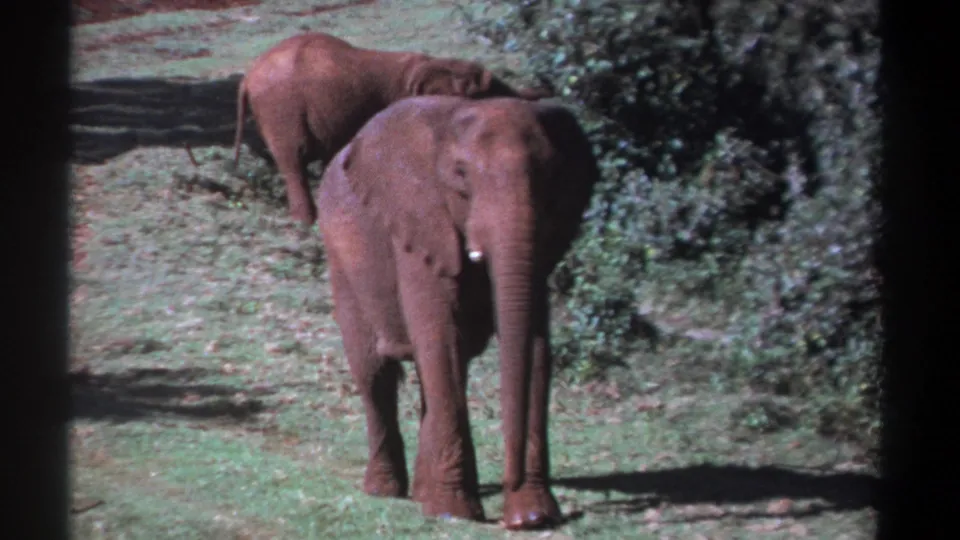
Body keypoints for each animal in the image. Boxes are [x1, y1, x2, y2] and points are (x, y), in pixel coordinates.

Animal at [231, 32, 554, 225]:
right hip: (280, 107)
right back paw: (307, 223)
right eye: (482, 95)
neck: (430, 65)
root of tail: (247, 77)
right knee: (293, 160)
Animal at [314, 95, 600, 530]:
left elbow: (536, 349)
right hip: (341, 256)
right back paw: (386, 491)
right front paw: (455, 513)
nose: (510, 484)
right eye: (461, 175)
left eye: (550, 175)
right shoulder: (419, 225)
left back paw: (421, 494)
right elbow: (440, 339)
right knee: (374, 371)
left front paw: (534, 516)